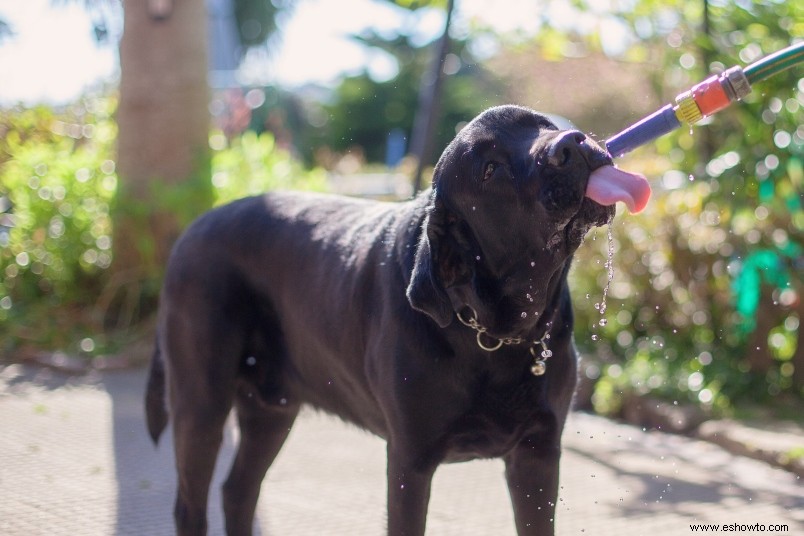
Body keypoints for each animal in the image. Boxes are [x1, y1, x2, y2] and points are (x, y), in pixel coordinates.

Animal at [148, 105, 640, 536]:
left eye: (543, 124)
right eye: (490, 169)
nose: (571, 144)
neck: (500, 330)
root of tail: (189, 232)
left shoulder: (537, 454)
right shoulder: (409, 460)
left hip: (272, 410)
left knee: (237, 490)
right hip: (201, 403)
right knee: (191, 504)